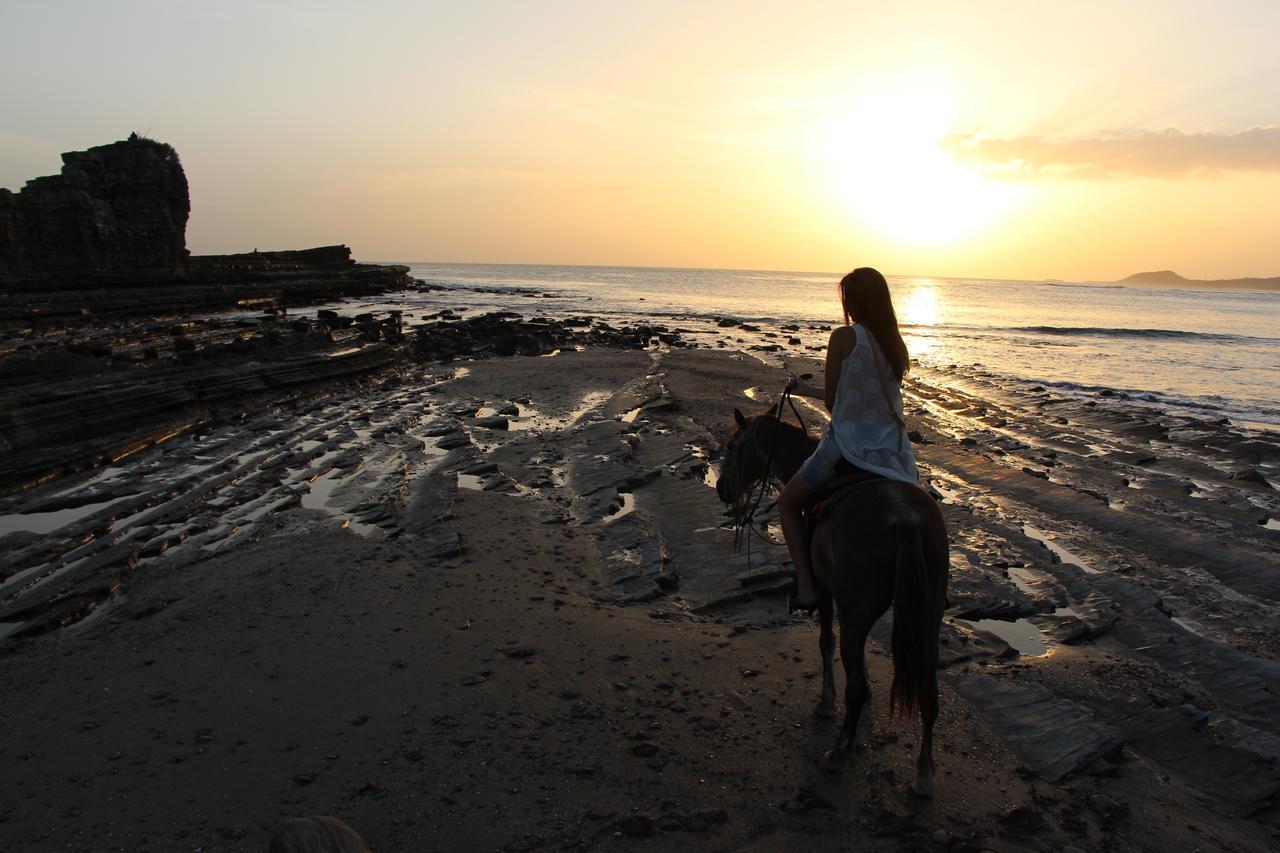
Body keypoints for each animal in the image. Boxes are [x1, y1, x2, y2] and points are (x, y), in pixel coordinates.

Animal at [721, 409, 952, 794]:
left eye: (731, 446)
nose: (722, 488)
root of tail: (904, 519)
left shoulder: (828, 595)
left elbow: (826, 644)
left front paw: (826, 703)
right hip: (929, 613)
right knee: (929, 693)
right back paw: (924, 773)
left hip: (858, 611)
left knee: (854, 687)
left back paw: (839, 753)